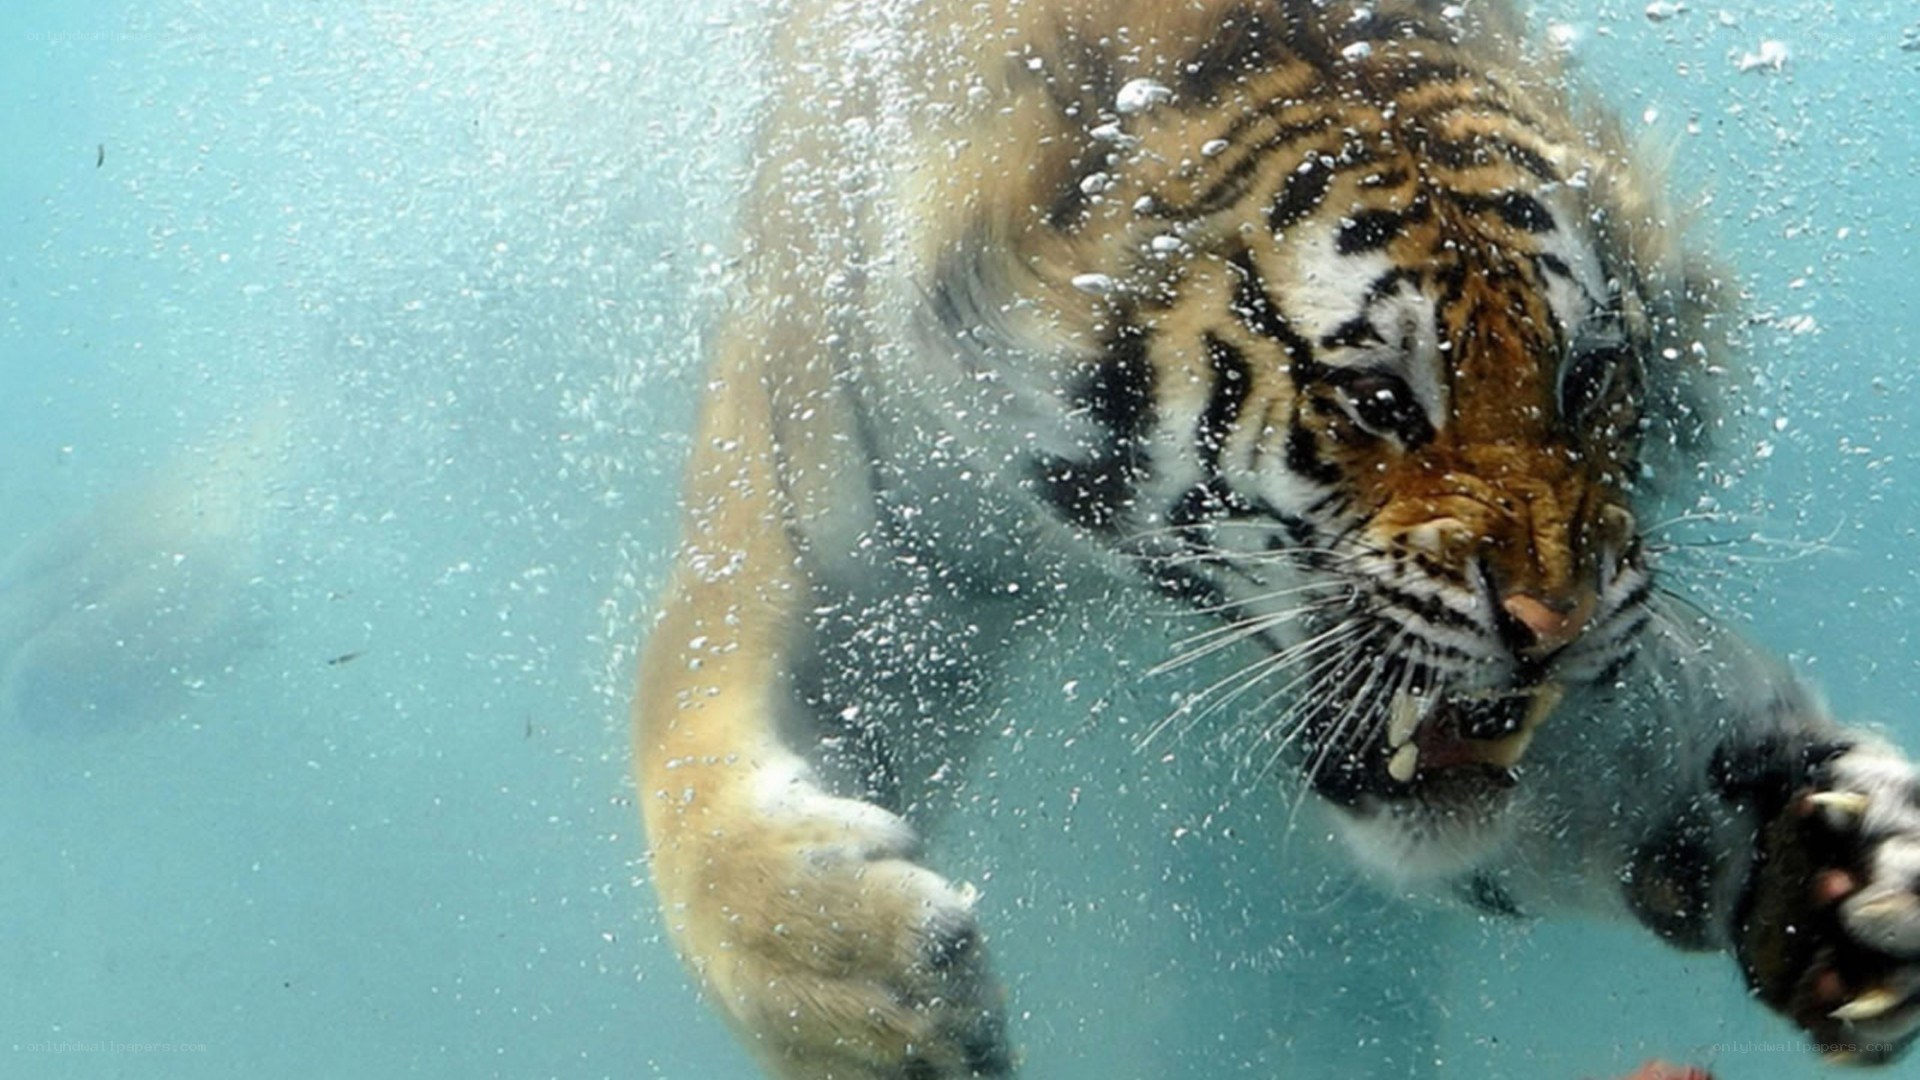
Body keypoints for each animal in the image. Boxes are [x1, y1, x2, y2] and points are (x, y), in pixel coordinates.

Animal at [634, 1, 1920, 1077]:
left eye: (1589, 378)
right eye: (1381, 400)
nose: (1554, 624)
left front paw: (1836, 862)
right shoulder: (848, 552)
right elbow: (689, 757)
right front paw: (869, 989)